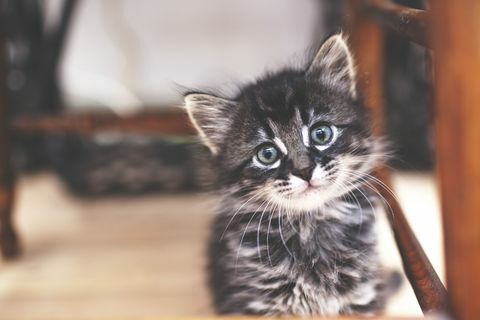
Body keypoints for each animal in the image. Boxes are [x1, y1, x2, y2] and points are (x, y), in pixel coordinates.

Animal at [186, 34, 392, 316]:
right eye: (267, 154)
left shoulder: (361, 296)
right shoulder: (255, 301)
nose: (304, 171)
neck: (309, 226)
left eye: (321, 134)